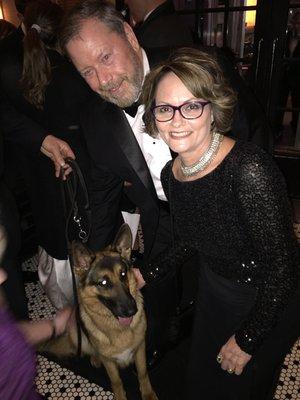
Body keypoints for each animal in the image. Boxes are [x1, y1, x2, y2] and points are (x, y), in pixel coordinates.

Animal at [41, 225, 158, 400]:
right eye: (103, 282)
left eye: (123, 274)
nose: (132, 310)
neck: (118, 327)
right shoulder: (109, 363)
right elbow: (116, 381)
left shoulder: (140, 349)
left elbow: (143, 373)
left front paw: (148, 393)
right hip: (76, 333)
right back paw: (95, 358)